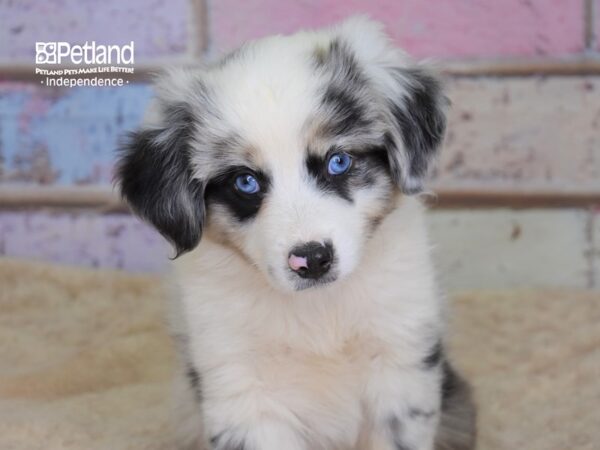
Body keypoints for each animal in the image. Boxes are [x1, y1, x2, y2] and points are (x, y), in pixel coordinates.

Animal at [116, 15, 474, 448]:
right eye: (245, 182)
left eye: (339, 161)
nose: (313, 259)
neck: (319, 313)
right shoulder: (238, 382)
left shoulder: (401, 360)